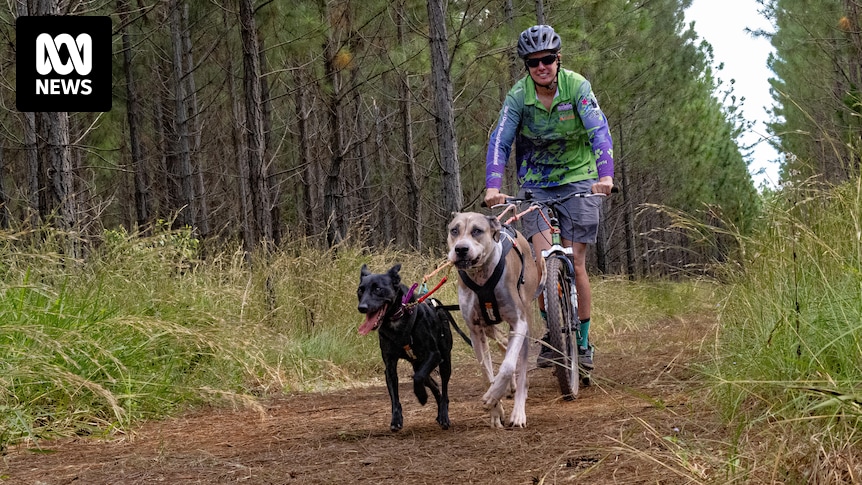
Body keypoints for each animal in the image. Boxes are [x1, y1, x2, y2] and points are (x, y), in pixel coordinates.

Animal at [356, 262, 456, 430]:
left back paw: (443, 415)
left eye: (378, 289)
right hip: (419, 364)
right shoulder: (389, 365)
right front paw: (396, 418)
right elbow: (394, 395)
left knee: (442, 387)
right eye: (360, 290)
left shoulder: (433, 354)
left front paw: (422, 396)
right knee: (433, 385)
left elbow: (418, 378)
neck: (398, 320)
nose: (362, 307)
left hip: (444, 361)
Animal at [448, 212, 544, 428]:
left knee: (520, 367)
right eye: (454, 230)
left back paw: (518, 412)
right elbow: (486, 372)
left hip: (526, 320)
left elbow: (508, 366)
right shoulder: (475, 331)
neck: (482, 276)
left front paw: (493, 395)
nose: (461, 249)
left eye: (477, 230)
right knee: (503, 342)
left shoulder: (518, 322)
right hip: (489, 327)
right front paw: (495, 410)